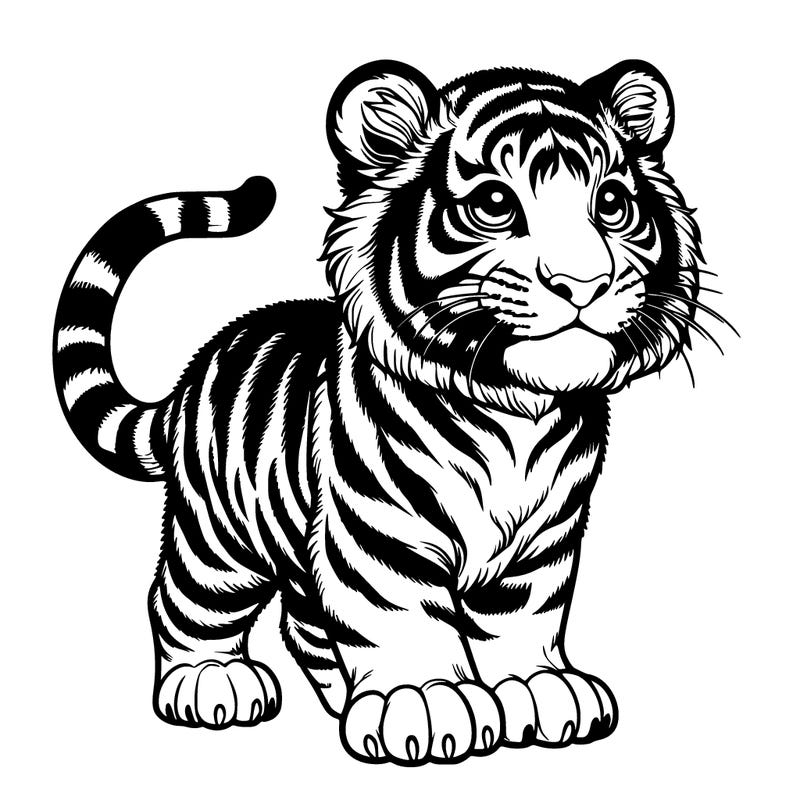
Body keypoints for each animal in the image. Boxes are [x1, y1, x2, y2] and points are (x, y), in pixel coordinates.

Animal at [53, 59, 710, 765]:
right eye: (495, 204)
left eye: (611, 204)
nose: (584, 283)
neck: (520, 407)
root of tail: (194, 370)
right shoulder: (378, 527)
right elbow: (400, 611)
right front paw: (425, 703)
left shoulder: (544, 540)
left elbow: (520, 619)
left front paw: (539, 690)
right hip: (217, 538)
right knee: (183, 601)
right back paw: (211, 683)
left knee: (304, 618)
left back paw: (341, 696)